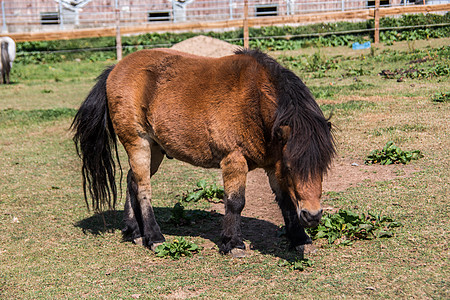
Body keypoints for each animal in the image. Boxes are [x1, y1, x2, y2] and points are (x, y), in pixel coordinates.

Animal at [72, 48, 334, 254]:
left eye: (324, 166)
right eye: (291, 166)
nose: (312, 216)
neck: (254, 100)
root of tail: (115, 69)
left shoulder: (273, 165)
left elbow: (286, 201)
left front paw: (300, 239)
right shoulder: (235, 160)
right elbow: (235, 202)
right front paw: (233, 243)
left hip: (154, 149)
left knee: (132, 182)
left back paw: (134, 231)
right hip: (138, 143)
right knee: (144, 189)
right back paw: (154, 237)